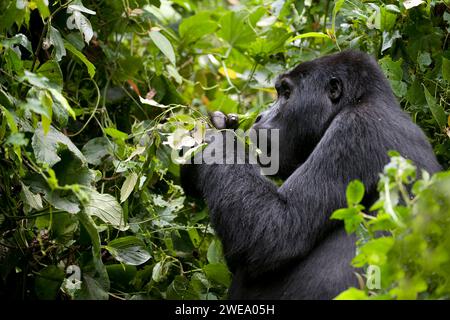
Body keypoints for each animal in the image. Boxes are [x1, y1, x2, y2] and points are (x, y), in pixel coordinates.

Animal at [179, 50, 440, 300]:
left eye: (286, 93)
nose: (260, 117)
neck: (361, 100)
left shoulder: (356, 129)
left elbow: (275, 231)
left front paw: (212, 140)